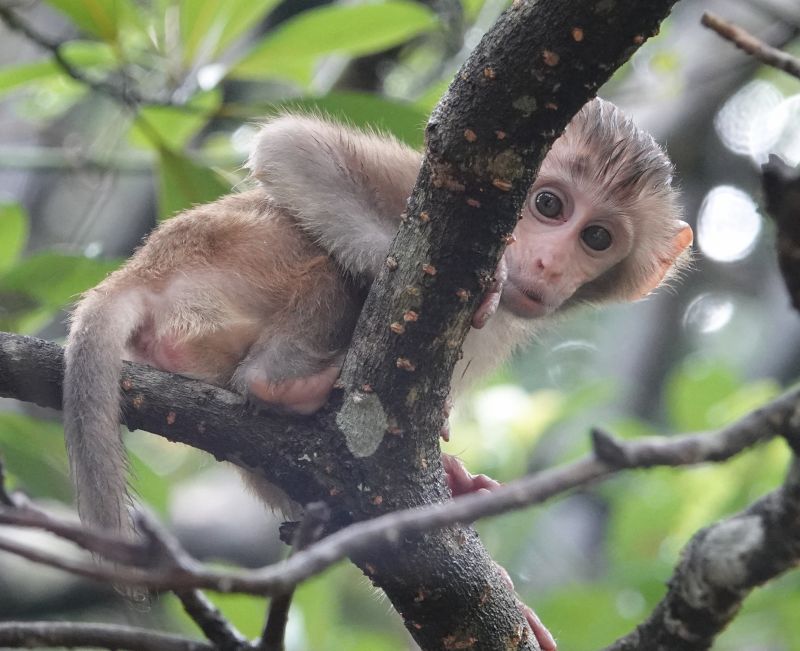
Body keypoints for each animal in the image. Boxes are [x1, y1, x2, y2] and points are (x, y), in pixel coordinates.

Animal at [63, 98, 690, 649]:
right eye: (550, 205)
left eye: (597, 237)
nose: (546, 264)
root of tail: (144, 270)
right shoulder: (429, 185)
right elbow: (290, 148)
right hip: (240, 256)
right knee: (315, 257)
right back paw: (286, 380)